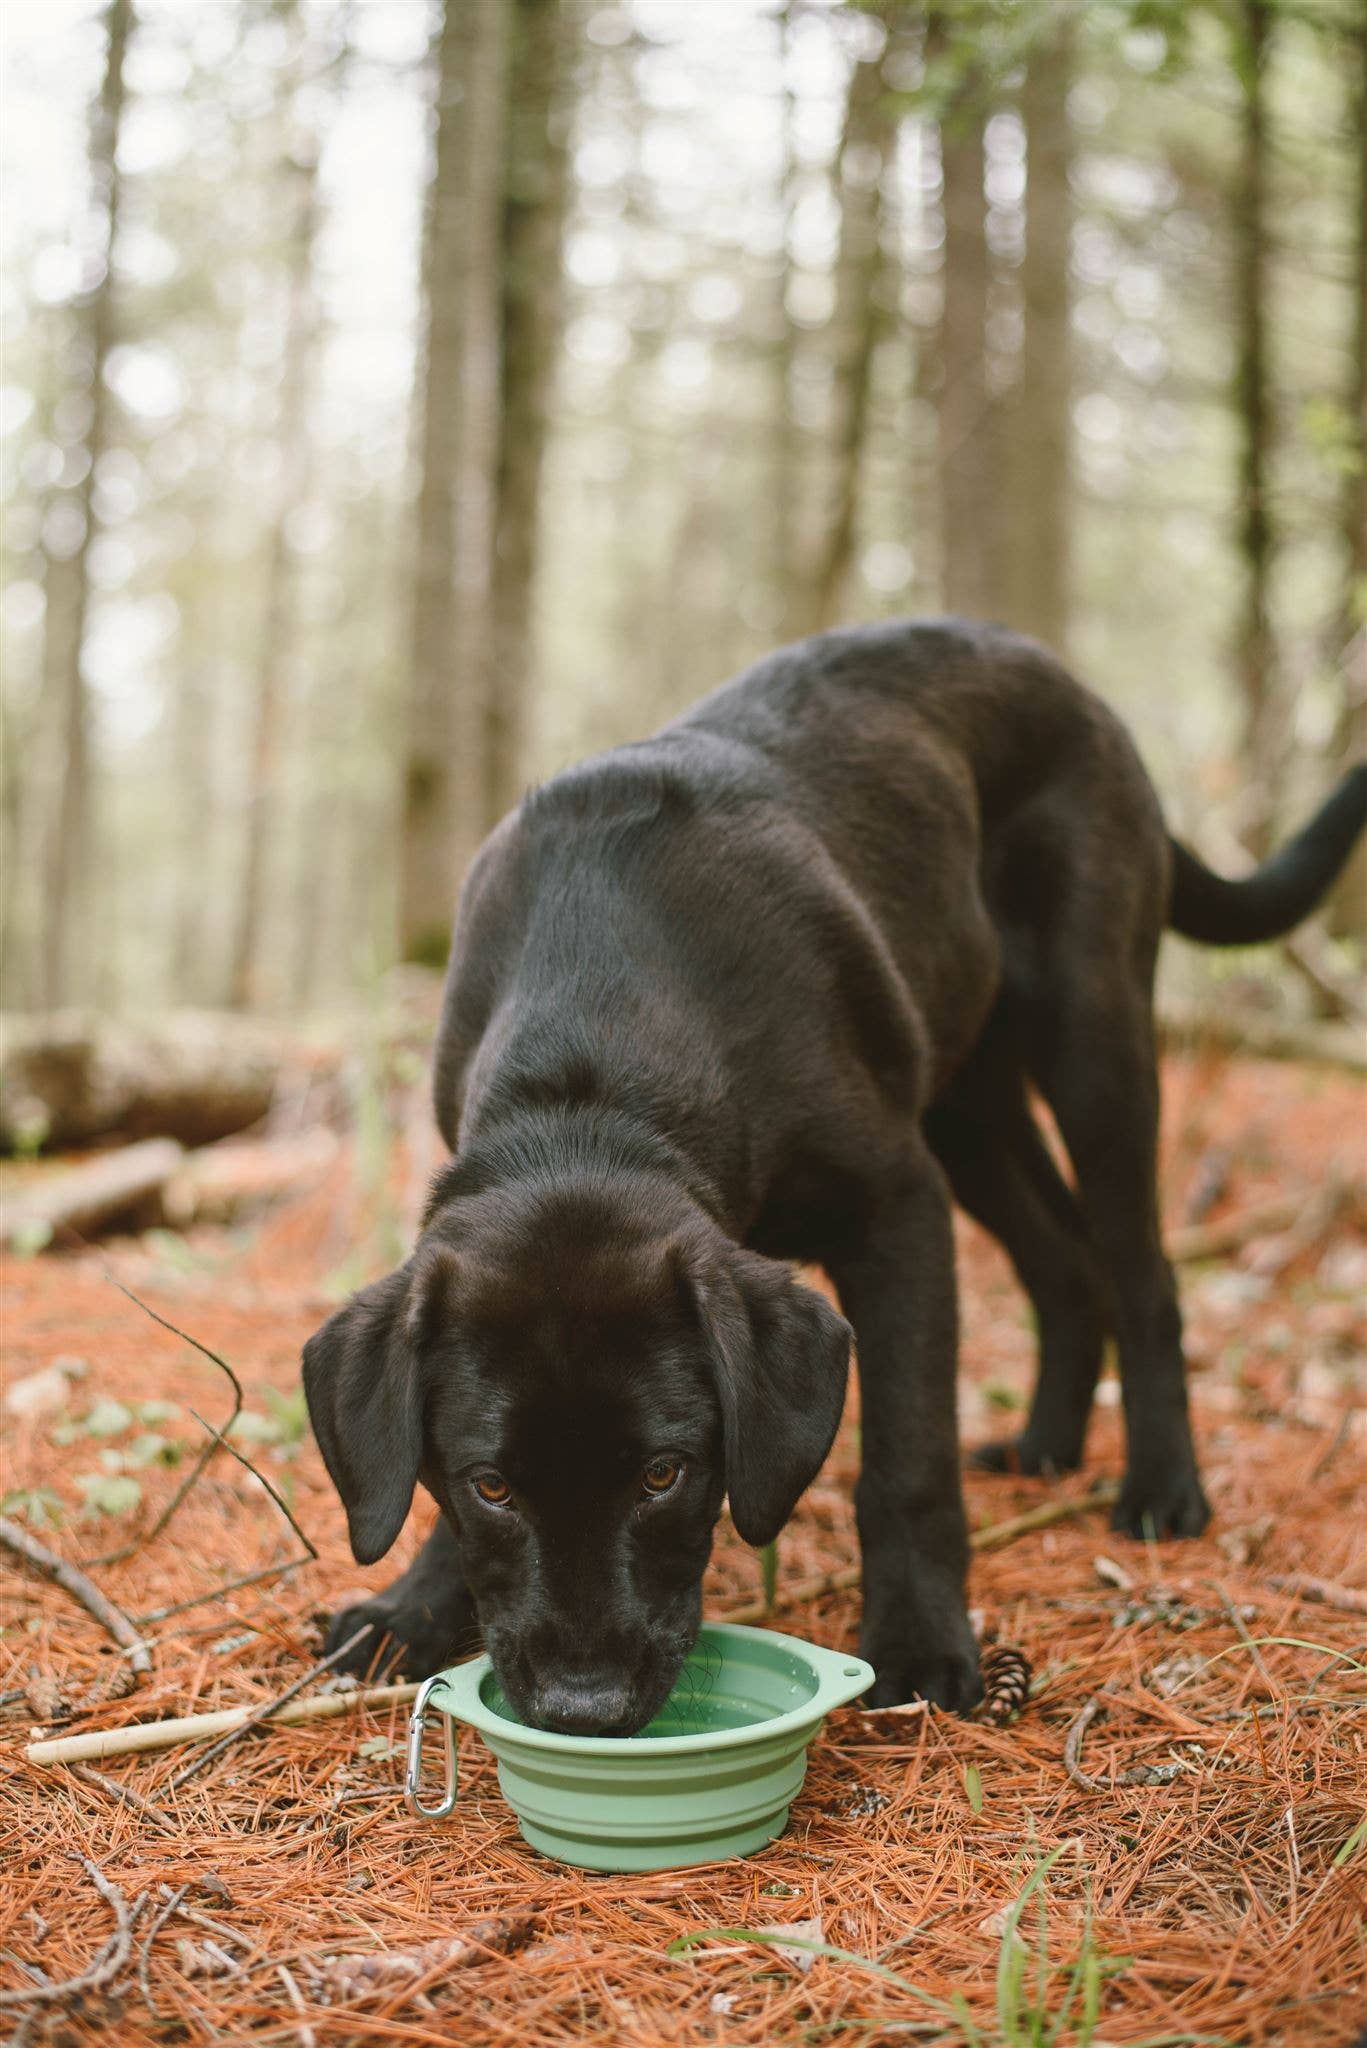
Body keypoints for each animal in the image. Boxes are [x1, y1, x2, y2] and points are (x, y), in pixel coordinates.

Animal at [301, 618, 1367, 1728]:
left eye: (663, 1472)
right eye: (492, 1484)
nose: (582, 1704)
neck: (588, 1076)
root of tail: (1065, 680)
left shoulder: (896, 1207)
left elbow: (906, 1458)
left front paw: (919, 1645)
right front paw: (415, 1606)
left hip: (1091, 1037)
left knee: (1139, 1272)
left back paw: (1159, 1488)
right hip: (965, 1108)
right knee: (1063, 1261)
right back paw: (1043, 1445)